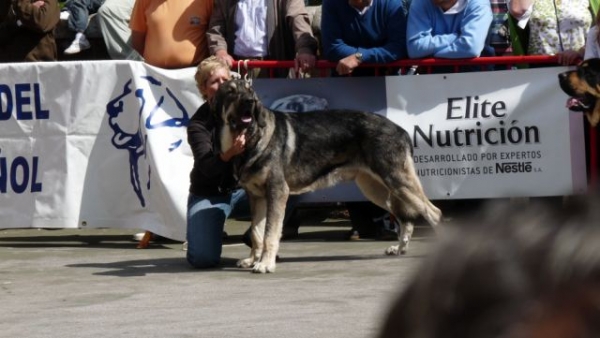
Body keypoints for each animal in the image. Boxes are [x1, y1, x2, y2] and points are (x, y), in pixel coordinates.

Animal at [211, 78, 440, 272]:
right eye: (231, 91)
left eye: (250, 91)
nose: (250, 102)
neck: (252, 138)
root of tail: (401, 130)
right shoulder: (257, 197)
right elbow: (257, 233)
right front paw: (253, 260)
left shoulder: (277, 192)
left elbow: (270, 233)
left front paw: (265, 264)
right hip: (377, 189)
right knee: (406, 219)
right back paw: (399, 249)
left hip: (398, 182)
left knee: (433, 213)